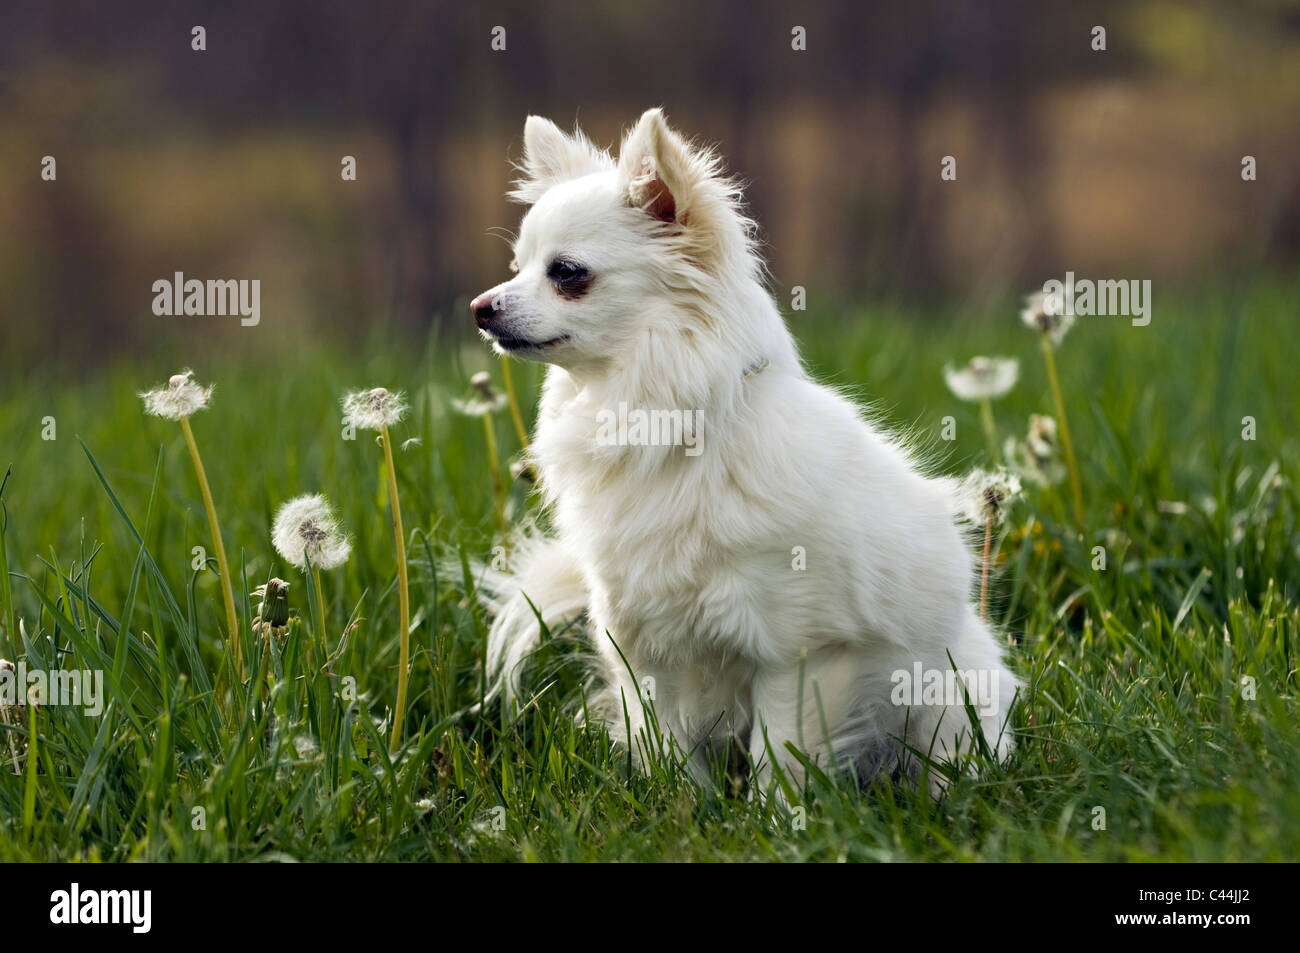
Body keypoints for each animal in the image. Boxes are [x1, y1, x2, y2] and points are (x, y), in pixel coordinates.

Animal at [473, 107, 1019, 795]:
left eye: (566, 273)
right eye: (516, 267)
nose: (480, 307)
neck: (660, 423)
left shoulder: (796, 654)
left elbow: (778, 756)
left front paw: (771, 814)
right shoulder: (646, 655)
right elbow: (669, 753)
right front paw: (682, 807)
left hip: (949, 695)